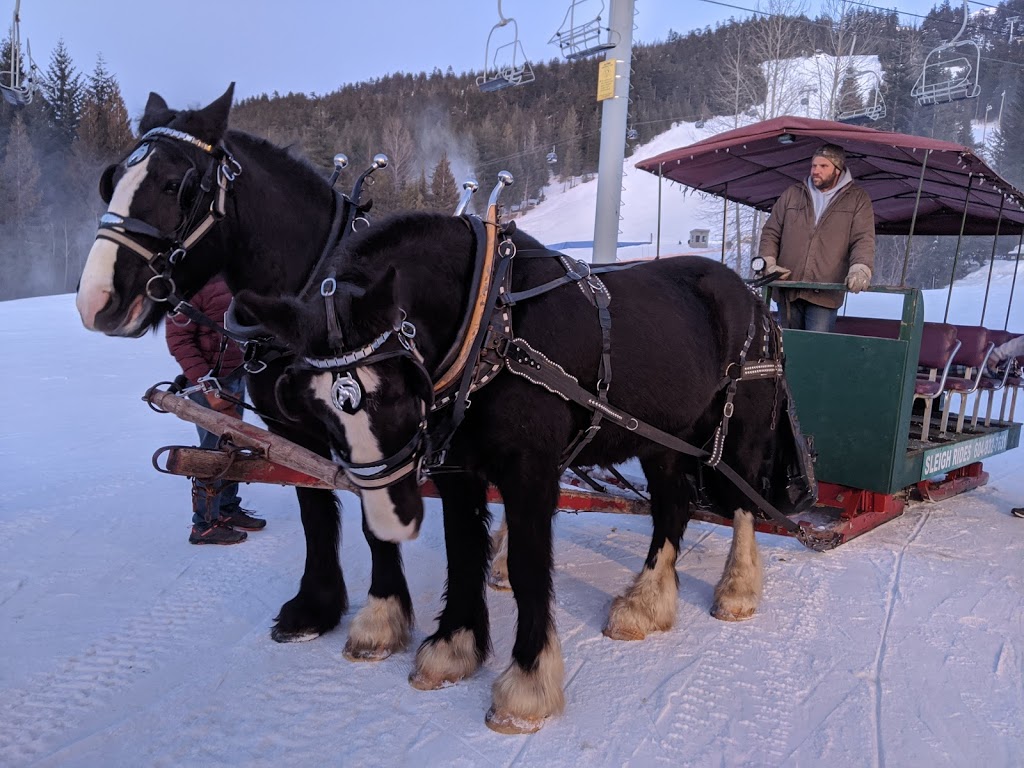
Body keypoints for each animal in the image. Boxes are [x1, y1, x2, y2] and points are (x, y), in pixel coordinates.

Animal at [74, 85, 415, 663]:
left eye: (177, 185)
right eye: (111, 179)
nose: (95, 300)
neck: (315, 298)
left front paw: (382, 617)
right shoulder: (289, 430)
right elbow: (314, 510)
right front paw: (315, 607)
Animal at [235, 210, 811, 733]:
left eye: (400, 389)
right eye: (315, 407)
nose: (391, 520)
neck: (489, 323)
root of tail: (754, 299)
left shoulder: (530, 470)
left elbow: (531, 566)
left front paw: (528, 686)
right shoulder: (458, 470)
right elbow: (463, 551)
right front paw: (453, 647)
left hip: (738, 431)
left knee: (742, 503)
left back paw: (736, 590)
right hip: (662, 438)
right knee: (673, 506)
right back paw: (645, 604)